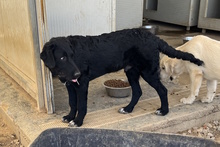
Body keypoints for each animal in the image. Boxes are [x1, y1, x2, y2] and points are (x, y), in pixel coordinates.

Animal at [40, 28, 204, 126]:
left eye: (72, 56)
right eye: (62, 58)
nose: (77, 74)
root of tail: (152, 36)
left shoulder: (82, 84)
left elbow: (81, 105)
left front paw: (78, 121)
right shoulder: (70, 85)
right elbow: (72, 103)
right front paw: (69, 117)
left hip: (148, 72)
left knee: (162, 90)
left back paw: (164, 111)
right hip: (131, 72)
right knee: (137, 92)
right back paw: (128, 109)